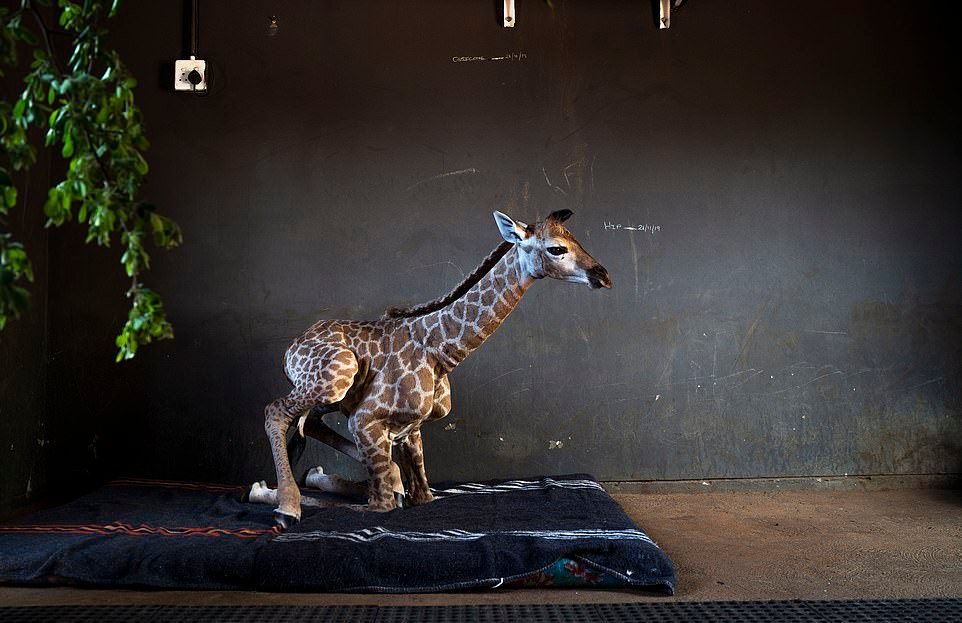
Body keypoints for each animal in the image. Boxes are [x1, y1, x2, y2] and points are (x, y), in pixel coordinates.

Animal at [262, 210, 608, 528]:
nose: (603, 276)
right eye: (556, 248)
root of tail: (291, 347)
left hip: (329, 395)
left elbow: (420, 494)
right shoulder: (365, 422)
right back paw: (286, 506)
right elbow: (369, 504)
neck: (440, 352)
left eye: (576, 239)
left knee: (309, 424)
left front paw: (394, 483)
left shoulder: (410, 431)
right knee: (276, 411)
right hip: (336, 375)